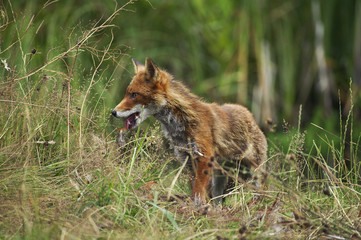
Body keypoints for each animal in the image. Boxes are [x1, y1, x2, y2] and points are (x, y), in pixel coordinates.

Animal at [112, 58, 268, 204]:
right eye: (127, 94)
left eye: (134, 94)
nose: (113, 112)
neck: (180, 121)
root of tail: (251, 115)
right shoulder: (187, 158)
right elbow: (195, 187)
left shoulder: (204, 156)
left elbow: (198, 190)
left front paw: (197, 206)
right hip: (221, 176)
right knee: (218, 199)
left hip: (253, 171)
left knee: (261, 191)